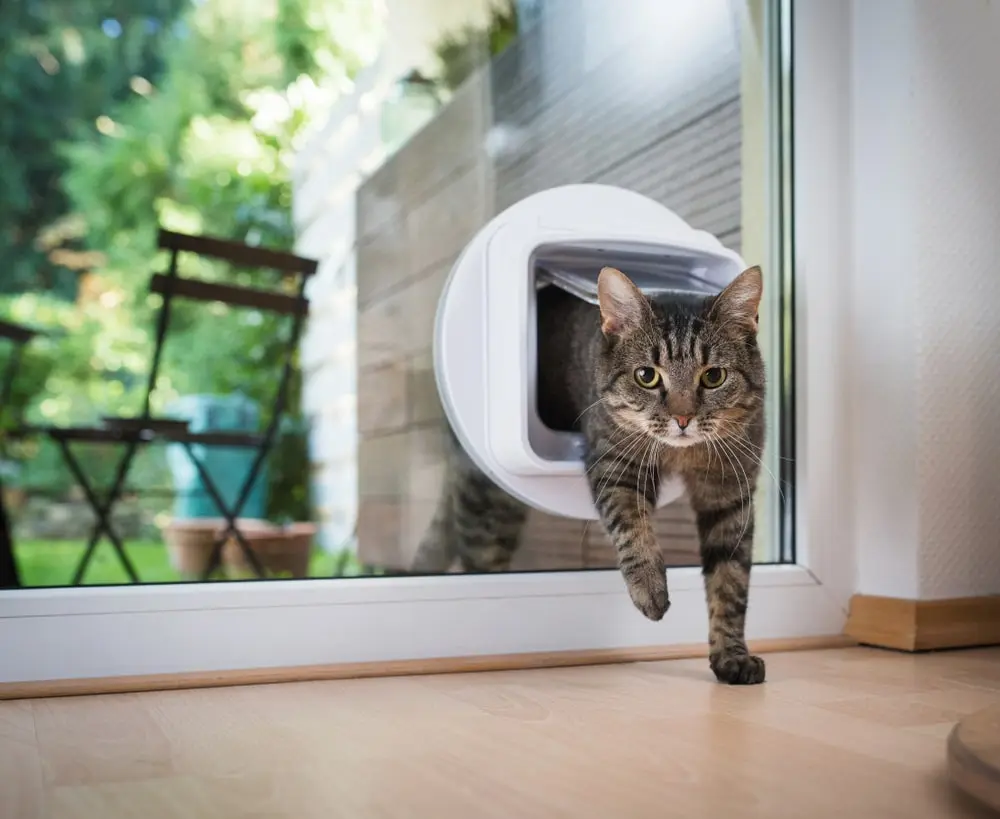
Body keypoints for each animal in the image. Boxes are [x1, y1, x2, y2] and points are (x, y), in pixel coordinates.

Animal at [412, 264, 764, 684]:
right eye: (647, 376)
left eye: (713, 377)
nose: (683, 419)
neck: (680, 455)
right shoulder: (615, 466)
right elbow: (632, 528)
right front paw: (649, 589)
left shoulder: (730, 494)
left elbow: (731, 581)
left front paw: (731, 655)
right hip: (486, 504)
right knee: (479, 558)